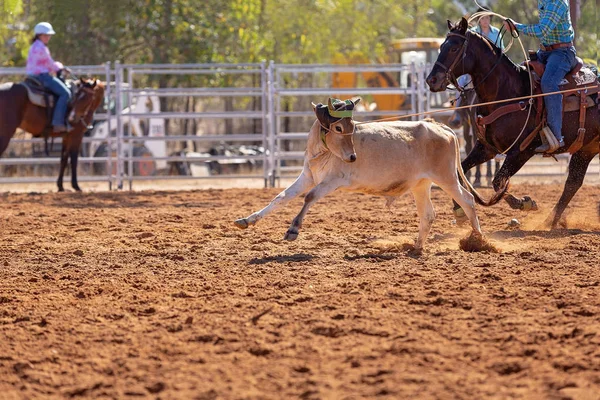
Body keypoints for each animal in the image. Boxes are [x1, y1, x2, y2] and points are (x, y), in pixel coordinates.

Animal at [234, 98, 506, 250]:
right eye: (338, 127)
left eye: (352, 127)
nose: (352, 157)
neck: (323, 151)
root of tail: (441, 127)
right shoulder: (308, 177)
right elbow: (280, 197)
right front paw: (247, 220)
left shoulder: (333, 181)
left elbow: (309, 198)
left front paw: (293, 230)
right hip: (421, 184)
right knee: (428, 214)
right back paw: (416, 246)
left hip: (446, 177)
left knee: (467, 200)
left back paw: (479, 241)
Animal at [426, 18, 600, 228]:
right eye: (441, 46)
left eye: (454, 48)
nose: (431, 80)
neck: (508, 92)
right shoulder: (487, 148)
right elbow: (461, 174)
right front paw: (459, 211)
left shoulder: (522, 150)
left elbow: (498, 182)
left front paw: (525, 203)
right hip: (586, 148)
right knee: (573, 183)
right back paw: (549, 222)